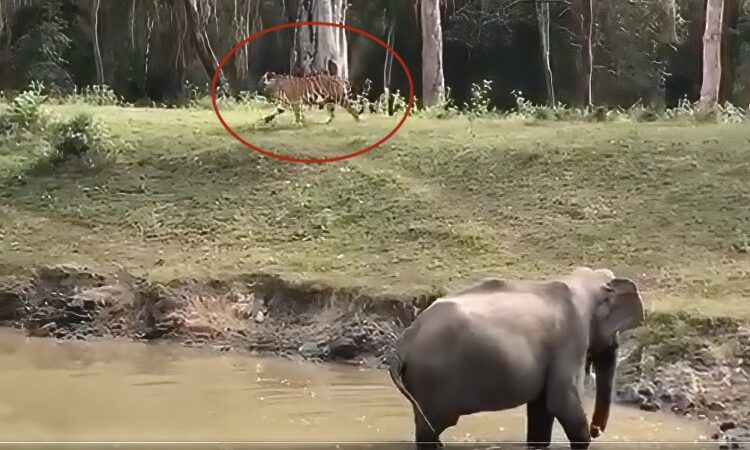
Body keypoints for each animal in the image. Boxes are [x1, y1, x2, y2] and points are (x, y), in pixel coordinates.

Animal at [387, 267, 645, 450]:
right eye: (616, 328)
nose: (596, 430)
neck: (580, 282)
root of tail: (404, 342)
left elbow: (542, 407)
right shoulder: (571, 337)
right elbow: (561, 399)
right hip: (433, 378)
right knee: (431, 428)